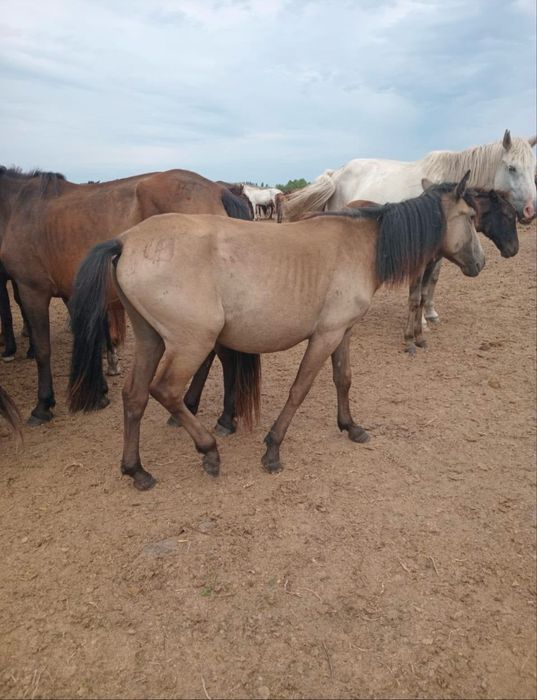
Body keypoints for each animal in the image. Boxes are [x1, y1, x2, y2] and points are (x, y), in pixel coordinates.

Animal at [0, 166, 252, 426]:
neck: (17, 206)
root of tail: (219, 190)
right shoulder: (71, 293)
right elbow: (88, 336)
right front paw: (99, 393)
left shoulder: (32, 289)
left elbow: (43, 350)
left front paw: (43, 405)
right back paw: (204, 410)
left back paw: (218, 415)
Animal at [67, 173, 485, 491]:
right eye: (470, 216)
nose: (480, 263)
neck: (360, 245)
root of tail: (125, 241)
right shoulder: (325, 336)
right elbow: (300, 389)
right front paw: (272, 448)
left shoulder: (342, 331)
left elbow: (343, 378)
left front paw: (351, 426)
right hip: (191, 343)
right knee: (165, 391)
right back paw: (209, 451)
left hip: (151, 340)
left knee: (135, 396)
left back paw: (136, 470)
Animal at [348, 188, 519, 353]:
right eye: (509, 216)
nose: (514, 250)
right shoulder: (418, 268)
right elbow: (415, 299)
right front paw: (411, 338)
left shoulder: (431, 264)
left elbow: (425, 292)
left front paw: (422, 332)